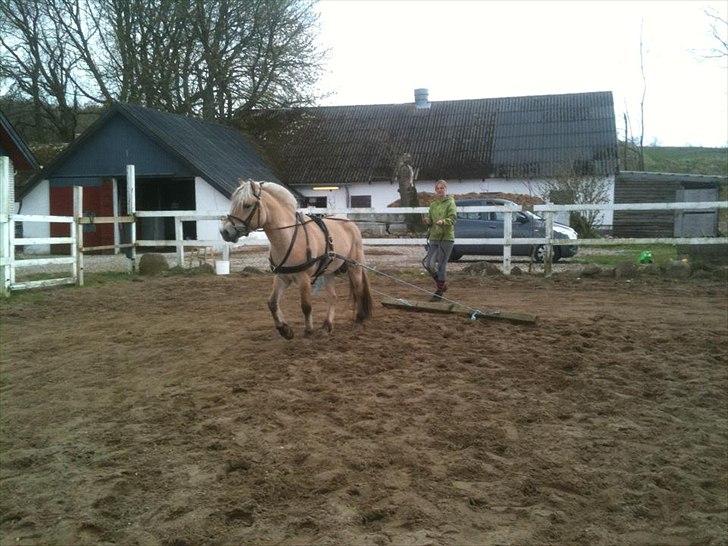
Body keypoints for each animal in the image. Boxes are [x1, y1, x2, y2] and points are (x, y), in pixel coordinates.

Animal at [219, 181, 372, 338]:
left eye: (247, 205)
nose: (224, 232)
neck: (289, 236)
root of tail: (349, 222)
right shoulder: (282, 277)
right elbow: (272, 303)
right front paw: (284, 329)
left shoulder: (303, 278)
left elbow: (306, 306)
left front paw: (308, 330)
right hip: (328, 271)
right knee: (333, 297)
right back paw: (327, 326)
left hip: (354, 267)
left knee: (359, 291)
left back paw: (359, 321)